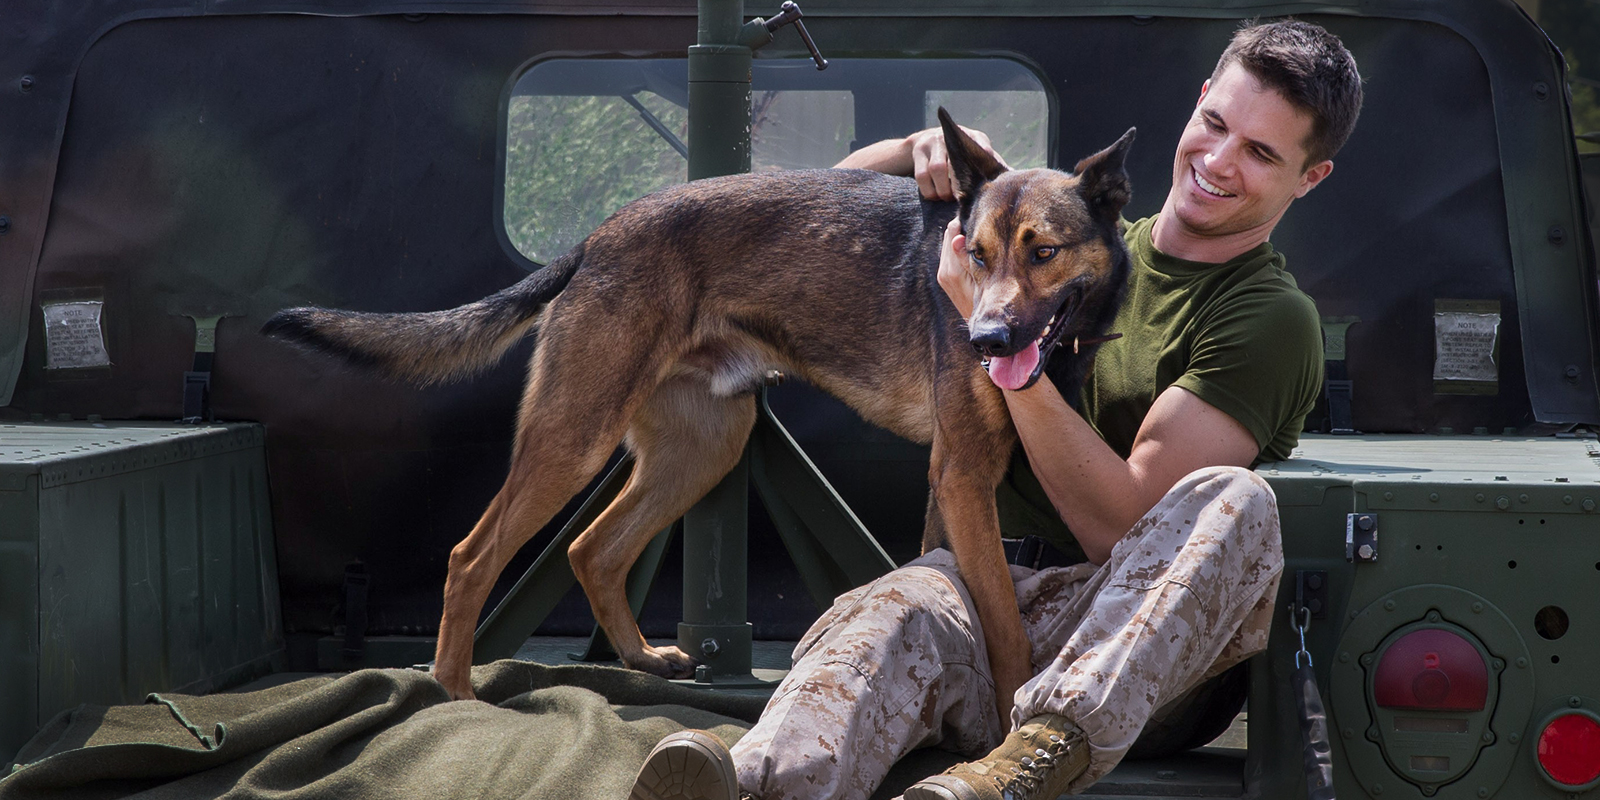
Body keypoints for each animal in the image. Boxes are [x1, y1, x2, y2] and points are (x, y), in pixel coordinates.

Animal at [265, 109, 1139, 723]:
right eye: (976, 254)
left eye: (1044, 251)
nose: (984, 338)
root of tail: (598, 238)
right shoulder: (963, 475)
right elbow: (1004, 625)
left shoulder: (950, 482)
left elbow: (954, 590)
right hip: (575, 441)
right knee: (472, 556)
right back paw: (453, 695)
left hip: (705, 450)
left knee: (591, 548)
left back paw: (643, 660)